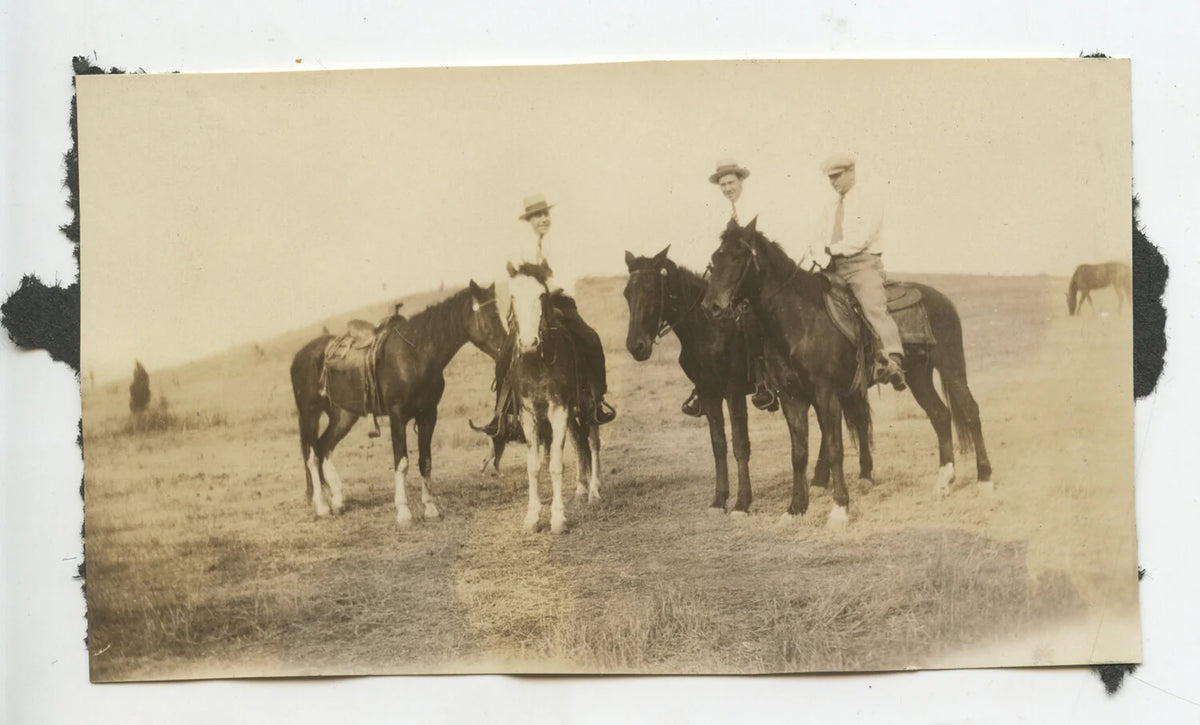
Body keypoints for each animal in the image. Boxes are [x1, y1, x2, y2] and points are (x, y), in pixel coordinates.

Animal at [289, 281, 507, 525]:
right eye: (487, 316)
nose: (505, 347)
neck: (415, 355)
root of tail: (301, 355)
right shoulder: (397, 416)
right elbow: (401, 462)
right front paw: (403, 512)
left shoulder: (428, 415)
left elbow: (425, 461)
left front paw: (430, 508)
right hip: (310, 413)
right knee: (311, 455)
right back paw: (322, 505)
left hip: (343, 416)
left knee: (323, 447)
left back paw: (337, 501)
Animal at [504, 260, 603, 534]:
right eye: (512, 296)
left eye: (541, 295)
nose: (528, 343)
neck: (536, 362)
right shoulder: (528, 414)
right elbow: (534, 466)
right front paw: (532, 517)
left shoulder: (558, 410)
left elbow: (556, 465)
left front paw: (558, 518)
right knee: (579, 444)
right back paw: (580, 491)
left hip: (589, 407)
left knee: (592, 443)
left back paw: (594, 492)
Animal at [623, 247, 874, 516]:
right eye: (627, 293)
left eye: (651, 290)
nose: (636, 346)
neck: (708, 329)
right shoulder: (709, 393)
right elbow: (718, 445)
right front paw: (719, 499)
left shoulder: (733, 391)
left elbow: (740, 445)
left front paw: (742, 502)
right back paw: (820, 480)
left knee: (856, 420)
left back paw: (861, 475)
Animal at [703, 219, 992, 526]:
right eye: (715, 258)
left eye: (738, 256)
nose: (711, 307)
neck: (800, 320)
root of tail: (943, 300)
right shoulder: (792, 398)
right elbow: (798, 453)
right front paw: (795, 508)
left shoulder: (826, 395)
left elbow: (834, 449)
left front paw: (840, 509)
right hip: (918, 376)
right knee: (940, 415)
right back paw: (944, 483)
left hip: (952, 368)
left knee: (970, 412)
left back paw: (985, 479)